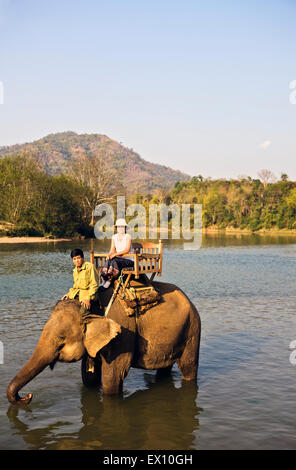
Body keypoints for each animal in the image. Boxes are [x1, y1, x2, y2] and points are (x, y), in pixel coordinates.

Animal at [6, 280, 201, 406]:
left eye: (61, 339)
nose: (27, 396)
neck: (92, 307)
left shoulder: (123, 335)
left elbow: (113, 377)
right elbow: (88, 377)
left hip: (192, 329)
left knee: (188, 366)